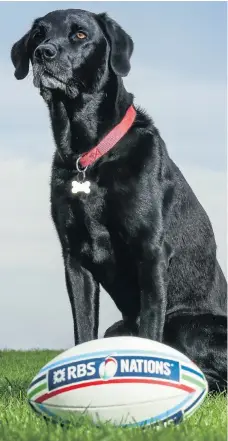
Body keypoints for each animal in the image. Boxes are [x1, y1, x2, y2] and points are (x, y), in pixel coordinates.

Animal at [12, 9, 226, 388]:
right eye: (38, 34)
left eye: (80, 35)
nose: (43, 54)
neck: (89, 155)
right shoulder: (75, 259)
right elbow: (83, 328)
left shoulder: (150, 253)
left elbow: (152, 330)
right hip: (118, 326)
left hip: (188, 325)